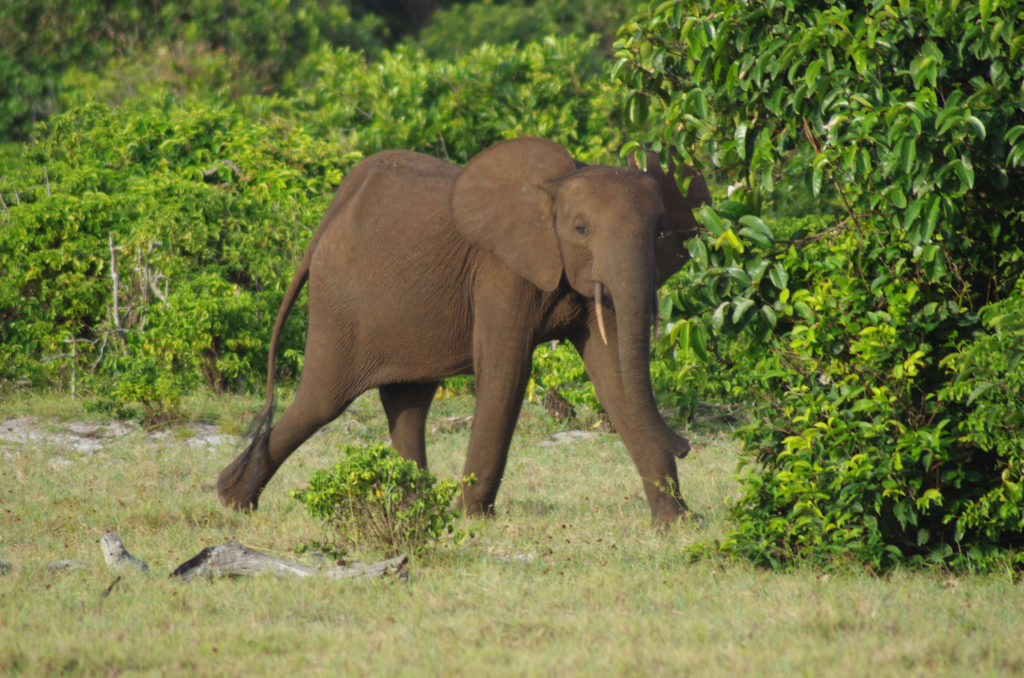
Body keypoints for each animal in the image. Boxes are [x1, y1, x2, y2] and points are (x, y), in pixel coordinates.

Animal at [219, 135, 708, 522]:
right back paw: (232, 499)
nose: (685, 445)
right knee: (321, 401)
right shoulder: (500, 270)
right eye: (581, 229)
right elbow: (507, 373)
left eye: (661, 232)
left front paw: (675, 524)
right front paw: (472, 519)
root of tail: (330, 215)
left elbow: (615, 381)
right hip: (340, 303)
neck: (550, 190)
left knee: (407, 402)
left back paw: (412, 508)